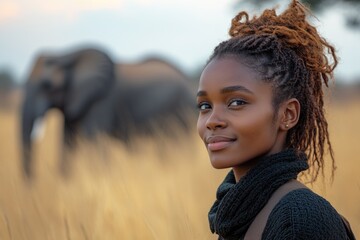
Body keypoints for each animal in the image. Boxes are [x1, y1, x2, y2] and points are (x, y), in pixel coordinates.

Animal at [21, 47, 197, 178]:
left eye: (46, 85)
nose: (32, 184)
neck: (67, 54)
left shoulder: (101, 101)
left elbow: (93, 138)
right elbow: (67, 139)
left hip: (180, 110)